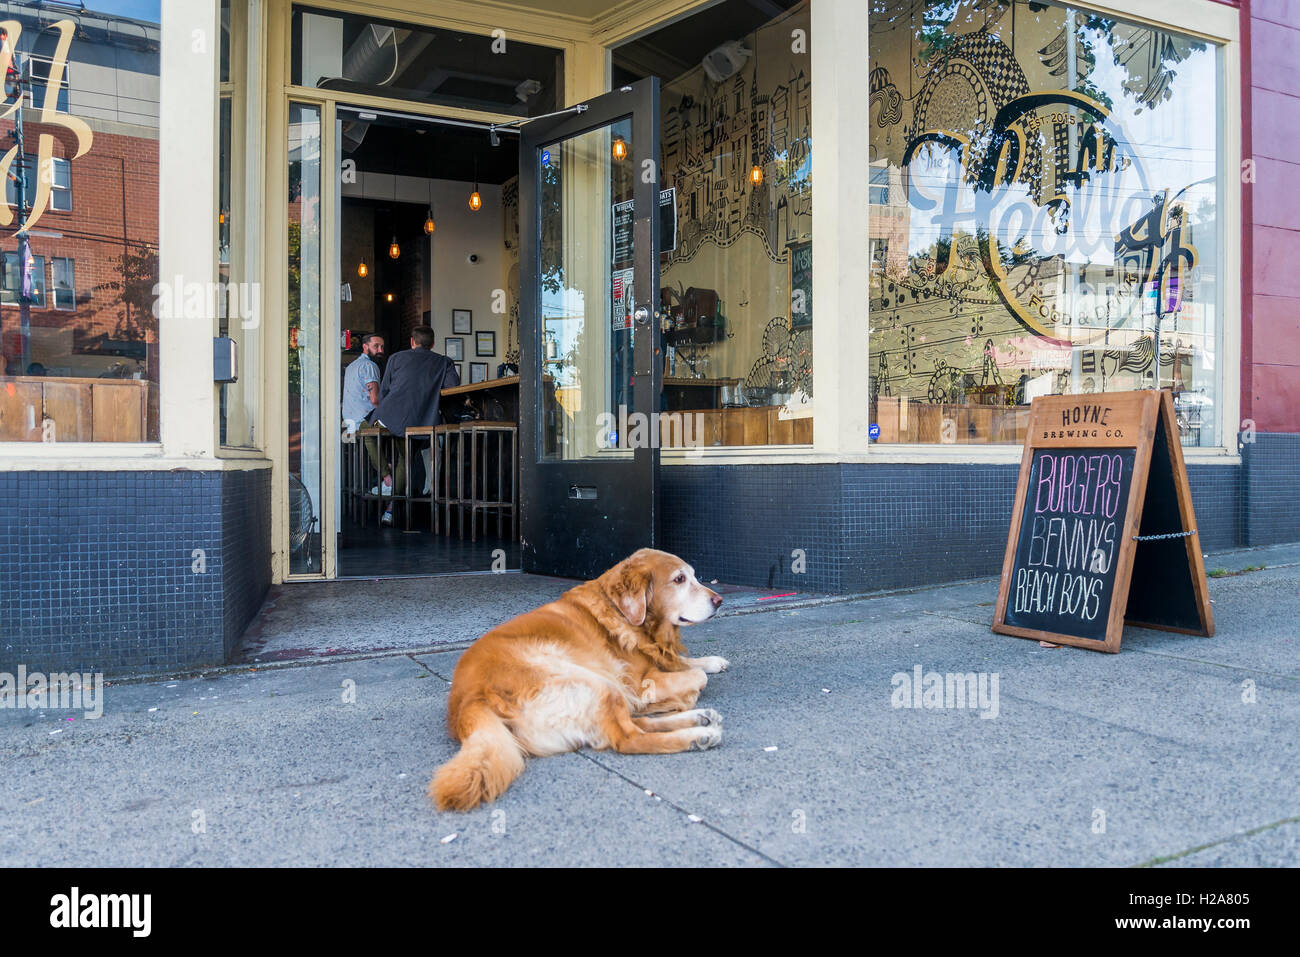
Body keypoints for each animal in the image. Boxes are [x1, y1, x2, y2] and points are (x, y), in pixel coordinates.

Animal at [428, 548, 728, 811]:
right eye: (679, 579)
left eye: (694, 576)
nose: (719, 600)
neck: (623, 613)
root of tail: (468, 701)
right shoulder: (641, 682)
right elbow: (697, 676)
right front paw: (687, 692)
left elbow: (686, 663)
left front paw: (713, 660)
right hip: (594, 680)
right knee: (629, 737)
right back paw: (697, 736)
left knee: (635, 724)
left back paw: (699, 718)